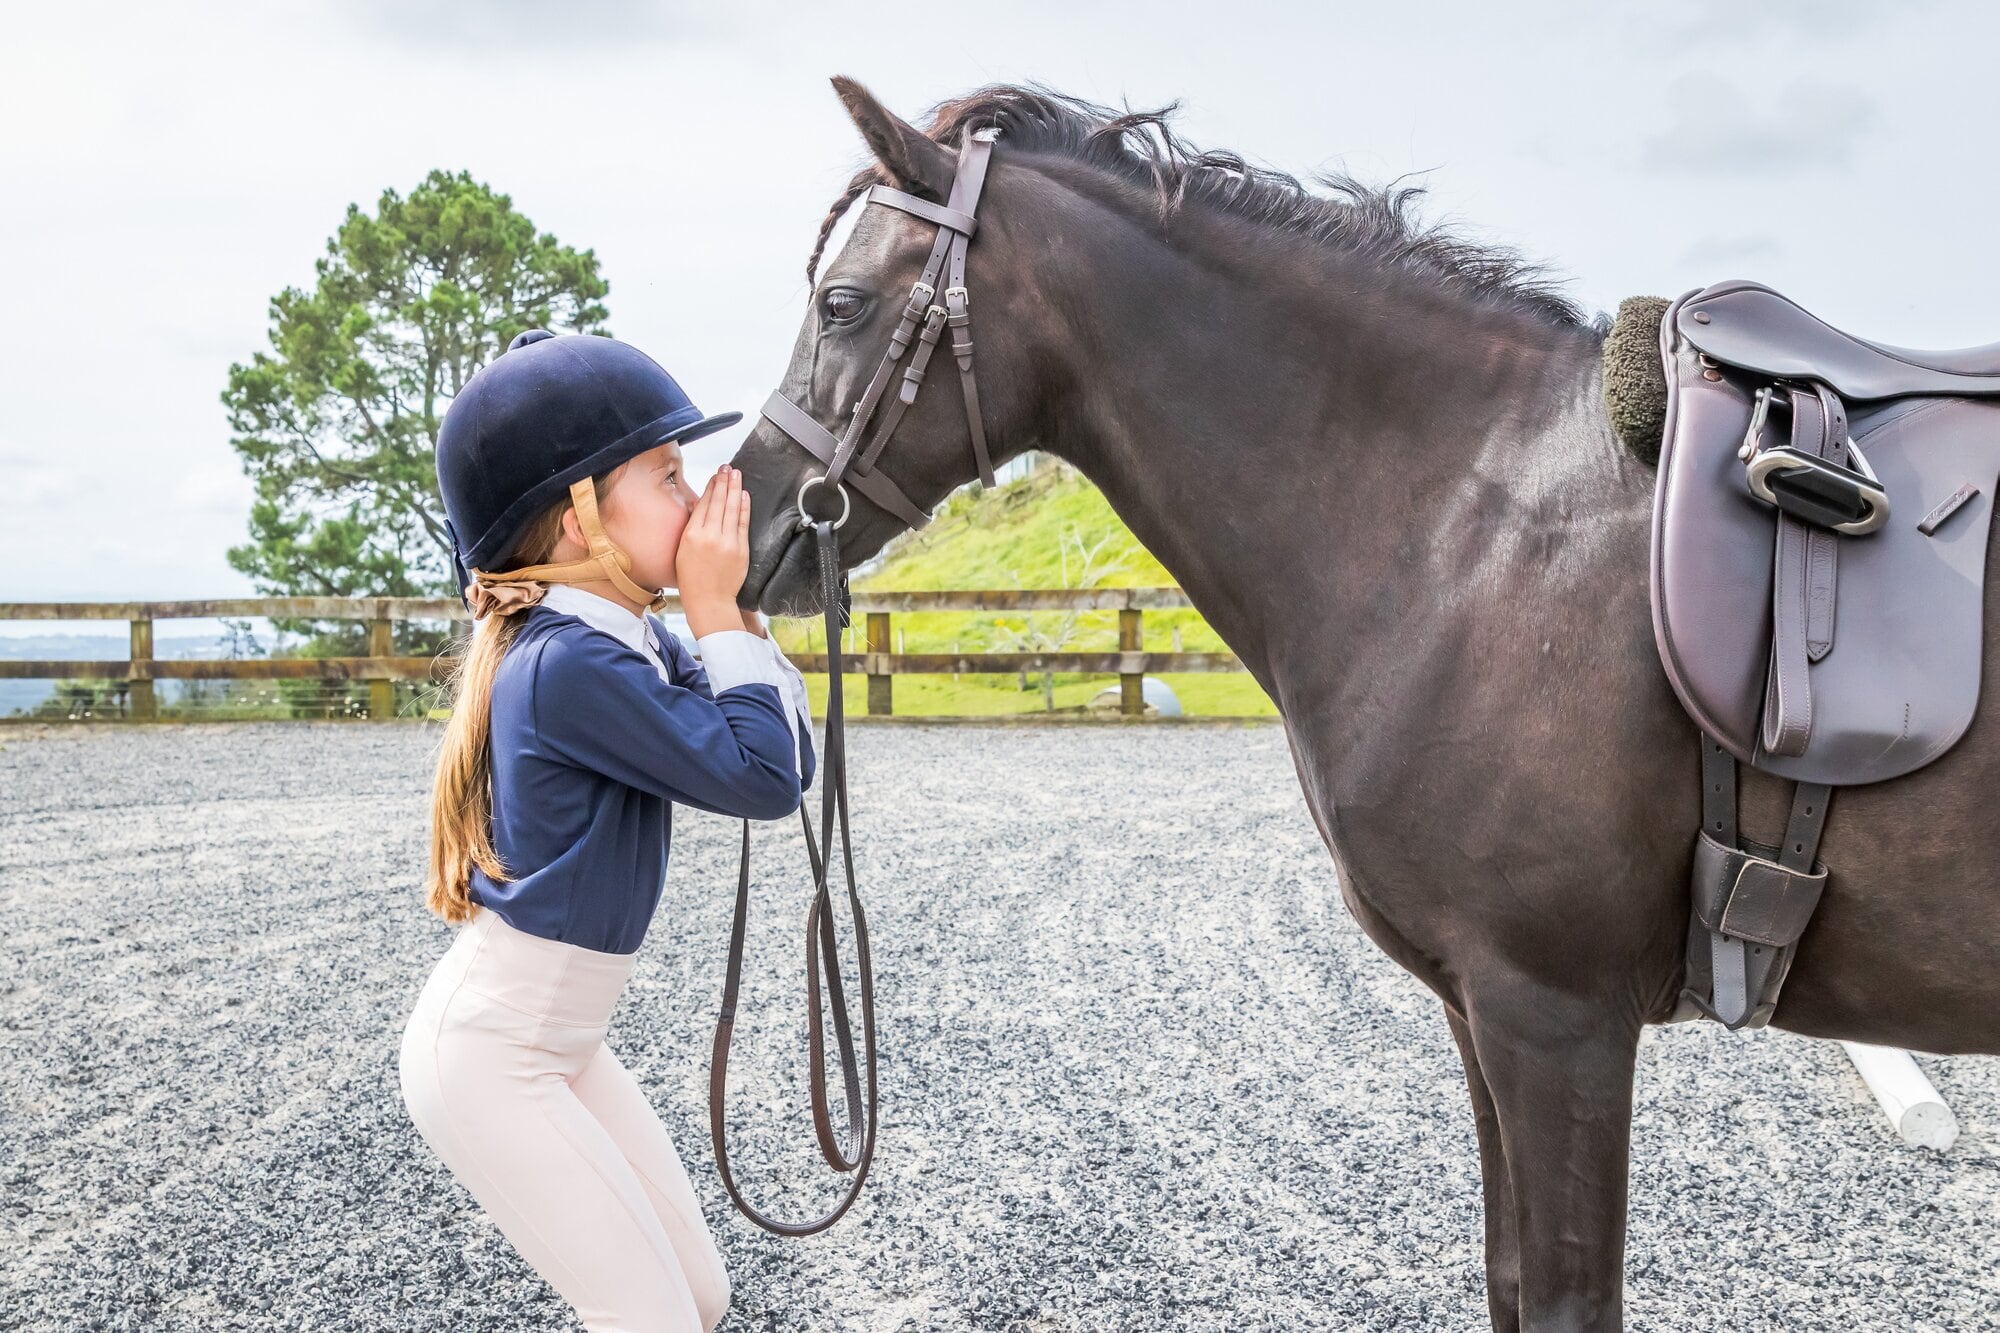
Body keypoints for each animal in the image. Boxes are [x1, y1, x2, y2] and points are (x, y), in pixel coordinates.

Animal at [725, 78, 2000, 1331]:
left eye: (840, 302)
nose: (749, 524)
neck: (1466, 526)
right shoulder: (1482, 1013)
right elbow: (1506, 1278)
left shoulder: (1557, 1017)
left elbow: (1564, 1295)